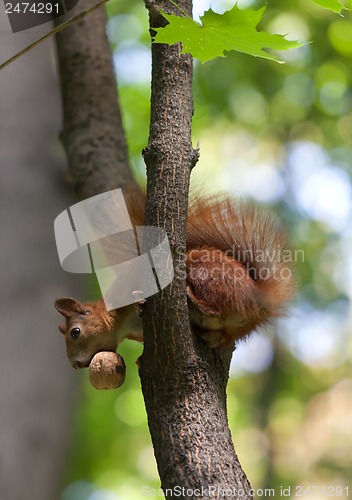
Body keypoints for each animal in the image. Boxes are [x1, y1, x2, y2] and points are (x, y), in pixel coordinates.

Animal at [53, 189, 292, 370]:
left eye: (75, 332)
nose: (75, 365)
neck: (122, 324)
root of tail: (257, 299)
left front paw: (140, 300)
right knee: (221, 334)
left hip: (205, 271)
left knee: (214, 307)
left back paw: (195, 301)